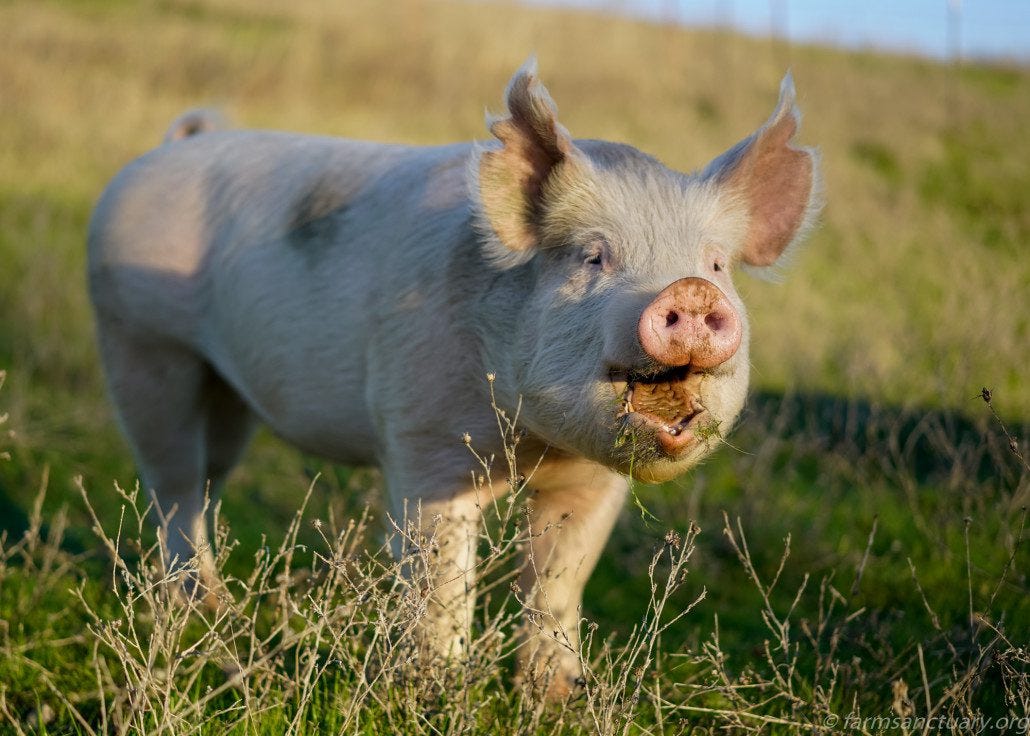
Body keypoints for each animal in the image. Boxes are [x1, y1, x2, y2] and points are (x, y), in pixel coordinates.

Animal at [92, 58, 824, 695]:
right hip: (140, 343)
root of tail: (159, 155)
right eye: (593, 257)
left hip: (224, 388)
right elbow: (442, 574)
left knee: (207, 479)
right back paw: (201, 611)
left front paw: (558, 696)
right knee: (172, 482)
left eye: (718, 264)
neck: (532, 444)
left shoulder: (593, 478)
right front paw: (436, 688)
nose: (693, 294)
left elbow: (559, 577)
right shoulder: (426, 437)